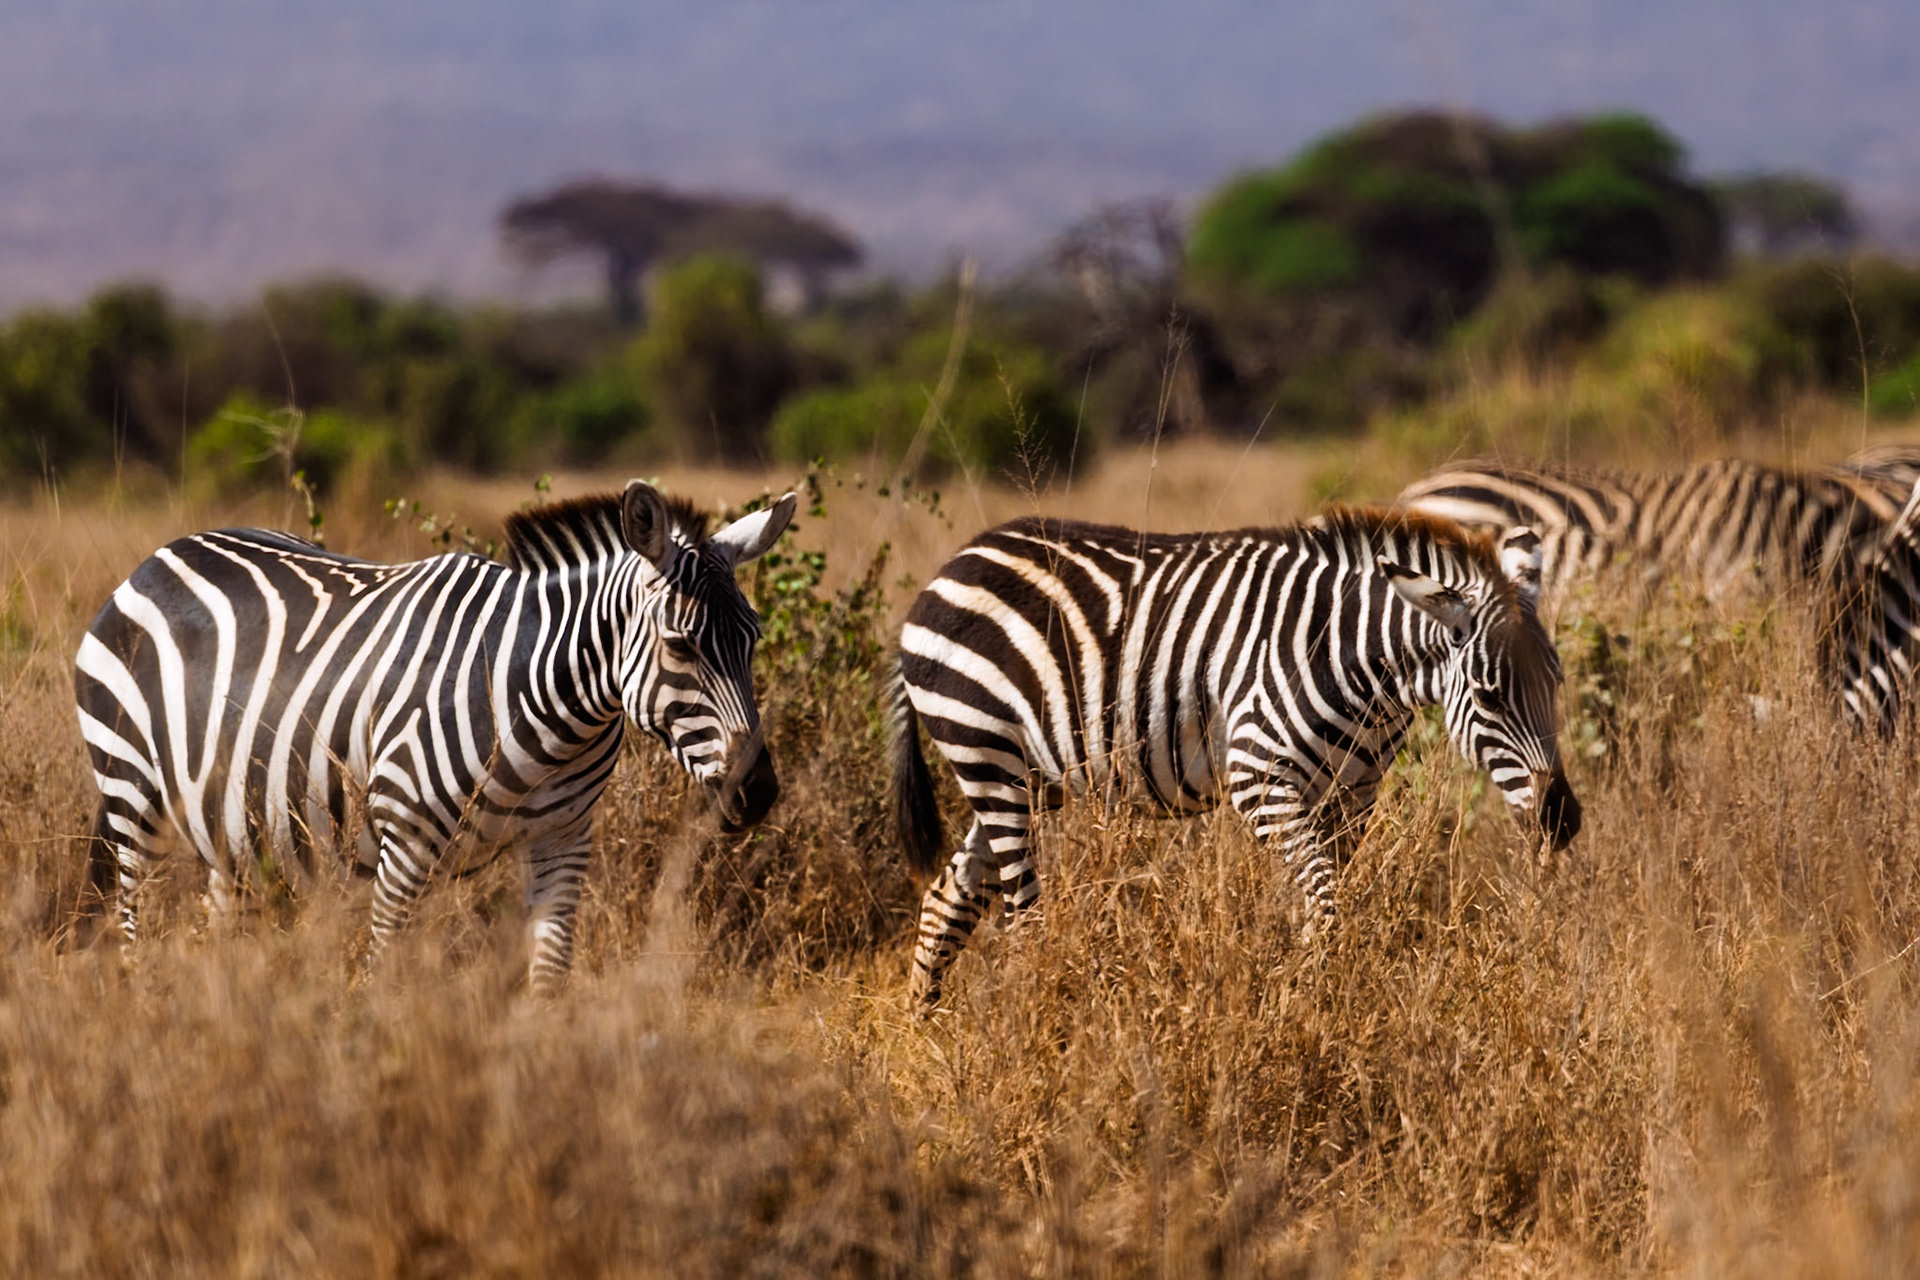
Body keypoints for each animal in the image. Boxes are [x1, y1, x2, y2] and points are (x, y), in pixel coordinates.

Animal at [74, 481, 796, 992]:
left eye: (753, 640)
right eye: (680, 645)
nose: (757, 793)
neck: (547, 710)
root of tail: (165, 553)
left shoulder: (564, 841)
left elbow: (548, 982)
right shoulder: (406, 845)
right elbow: (382, 981)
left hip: (232, 823)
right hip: (133, 798)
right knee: (134, 928)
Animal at [889, 506, 1582, 1008]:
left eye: (1557, 682)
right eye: (1489, 695)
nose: (1562, 819)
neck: (1356, 666)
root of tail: (949, 567)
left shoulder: (1350, 797)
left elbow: (1325, 904)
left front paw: (1314, 998)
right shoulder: (1261, 783)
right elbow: (1327, 906)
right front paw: (1316, 1010)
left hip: (1023, 777)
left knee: (948, 896)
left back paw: (927, 1036)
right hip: (984, 750)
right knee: (1024, 916)